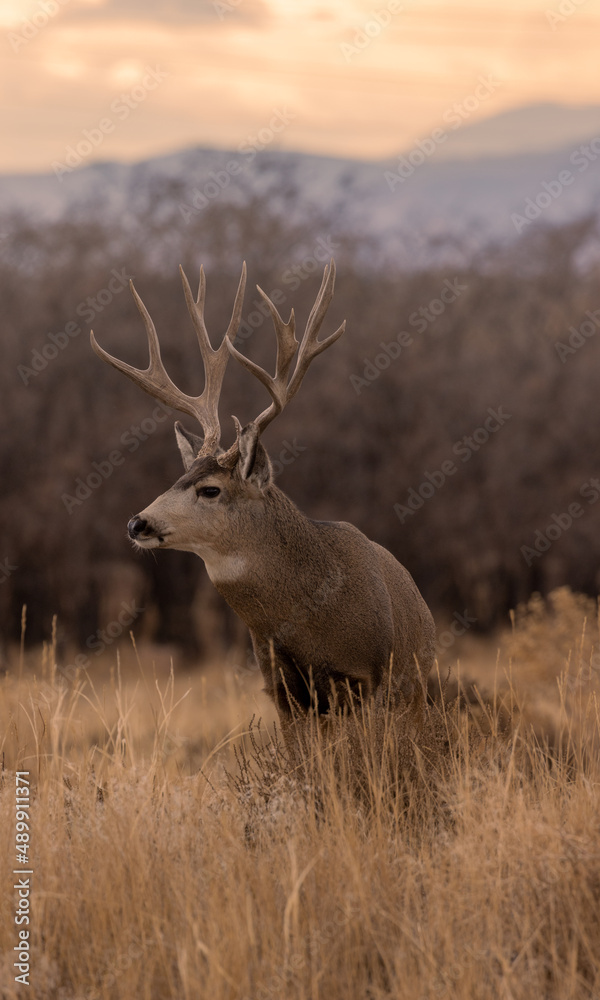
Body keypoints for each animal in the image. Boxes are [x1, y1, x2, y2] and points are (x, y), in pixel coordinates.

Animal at [90, 259, 435, 740]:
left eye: (210, 489)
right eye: (178, 477)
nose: (136, 523)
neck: (311, 620)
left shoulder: (370, 679)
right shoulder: (281, 689)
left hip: (415, 688)